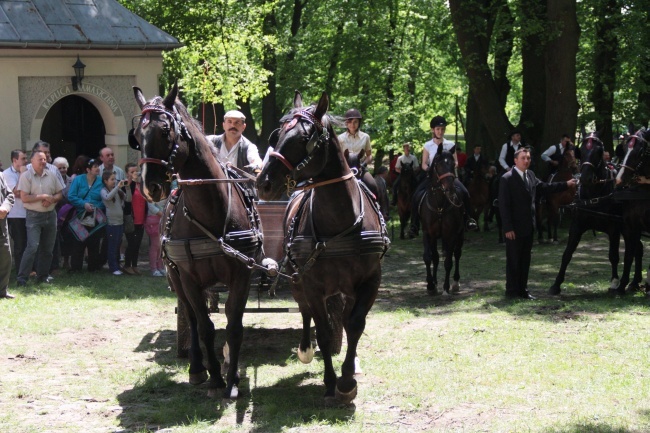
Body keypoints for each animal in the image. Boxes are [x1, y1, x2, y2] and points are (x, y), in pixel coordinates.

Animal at [128, 84, 270, 398]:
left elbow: (234, 325)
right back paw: (196, 367)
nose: (149, 186)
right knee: (192, 317)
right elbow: (204, 326)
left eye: (165, 130)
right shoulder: (189, 277)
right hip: (176, 277)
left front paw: (232, 378)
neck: (212, 211)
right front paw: (215, 376)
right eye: (137, 136)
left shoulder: (242, 274)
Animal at [253, 90, 388, 402]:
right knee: (305, 311)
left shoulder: (369, 281)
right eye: (277, 134)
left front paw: (347, 380)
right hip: (297, 279)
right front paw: (330, 381)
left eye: (305, 138)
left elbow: (354, 325)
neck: (339, 224)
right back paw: (305, 348)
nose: (263, 183)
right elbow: (323, 330)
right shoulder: (311, 283)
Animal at [418, 146, 464, 294]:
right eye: (439, 165)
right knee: (436, 257)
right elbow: (428, 257)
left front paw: (446, 287)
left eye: (453, 164)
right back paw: (435, 282)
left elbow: (448, 261)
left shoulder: (451, 235)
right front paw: (430, 285)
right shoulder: (428, 234)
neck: (439, 206)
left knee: (457, 254)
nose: (450, 189)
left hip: (460, 234)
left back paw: (455, 283)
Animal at [548, 132, 640, 294]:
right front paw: (556, 284)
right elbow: (567, 254)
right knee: (638, 249)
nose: (585, 178)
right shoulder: (576, 226)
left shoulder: (614, 228)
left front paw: (614, 282)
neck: (594, 195)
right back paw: (634, 282)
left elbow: (613, 255)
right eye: (582, 151)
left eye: (598, 151)